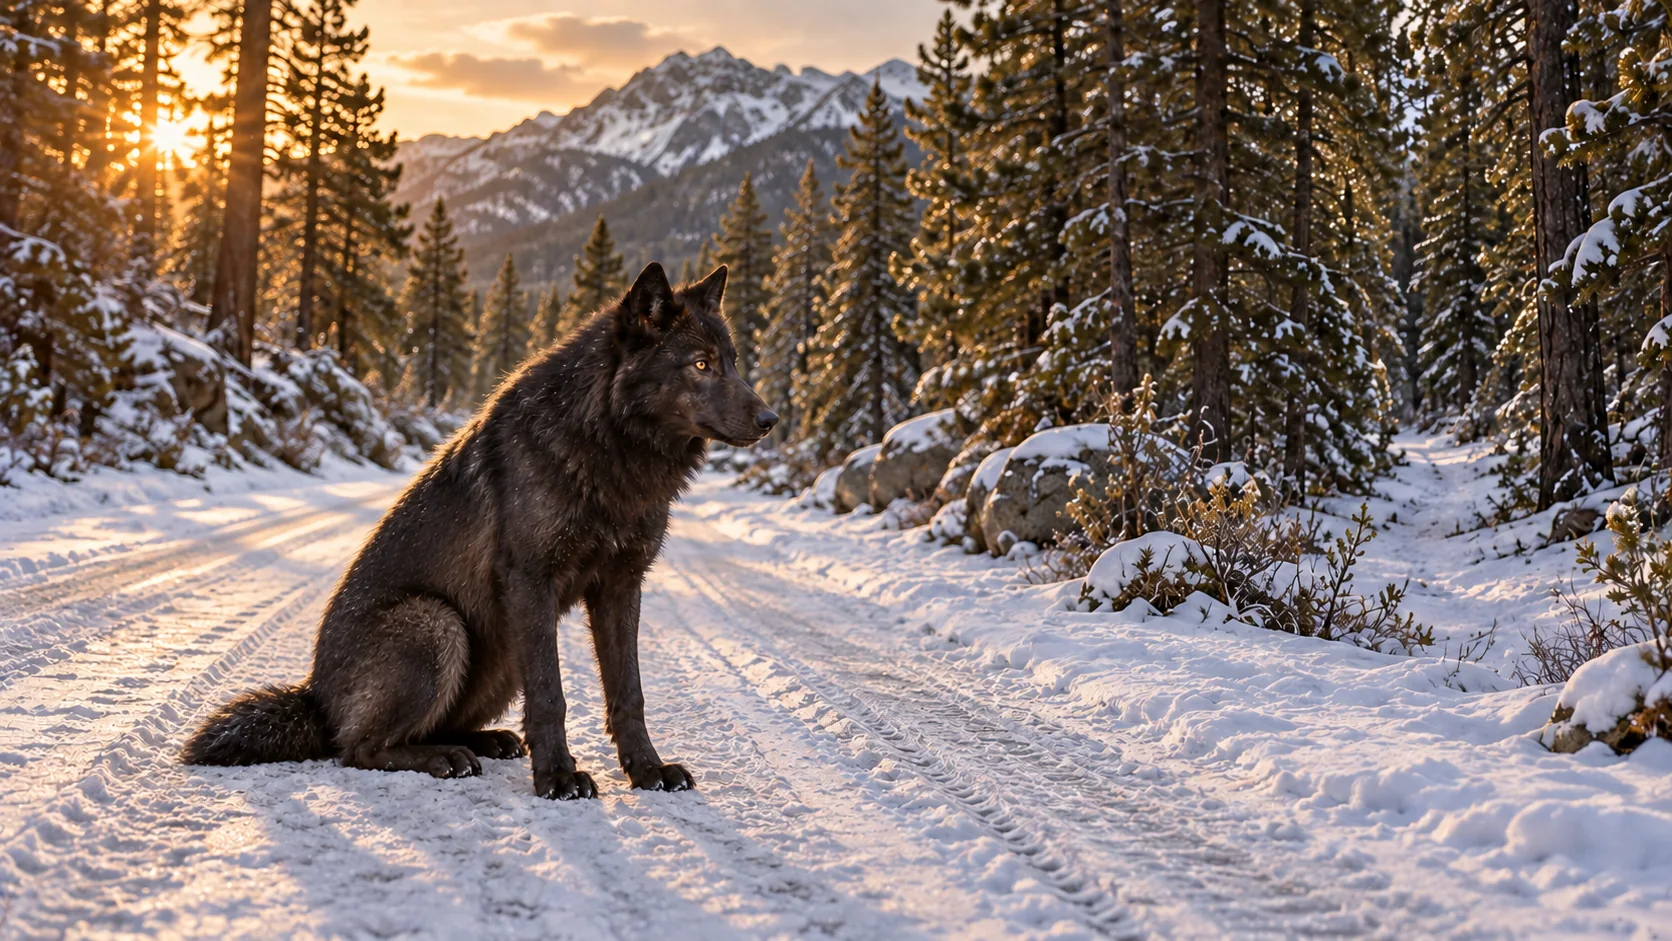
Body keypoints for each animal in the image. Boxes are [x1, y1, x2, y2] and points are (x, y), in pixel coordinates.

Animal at [182, 263, 775, 799]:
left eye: (734, 363)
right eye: (701, 364)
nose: (770, 419)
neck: (609, 445)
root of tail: (314, 693)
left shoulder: (621, 586)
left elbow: (629, 694)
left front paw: (647, 770)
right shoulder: (531, 582)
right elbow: (551, 696)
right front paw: (558, 778)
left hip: (500, 651)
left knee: (426, 726)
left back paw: (484, 743)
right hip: (440, 625)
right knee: (357, 747)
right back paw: (444, 758)